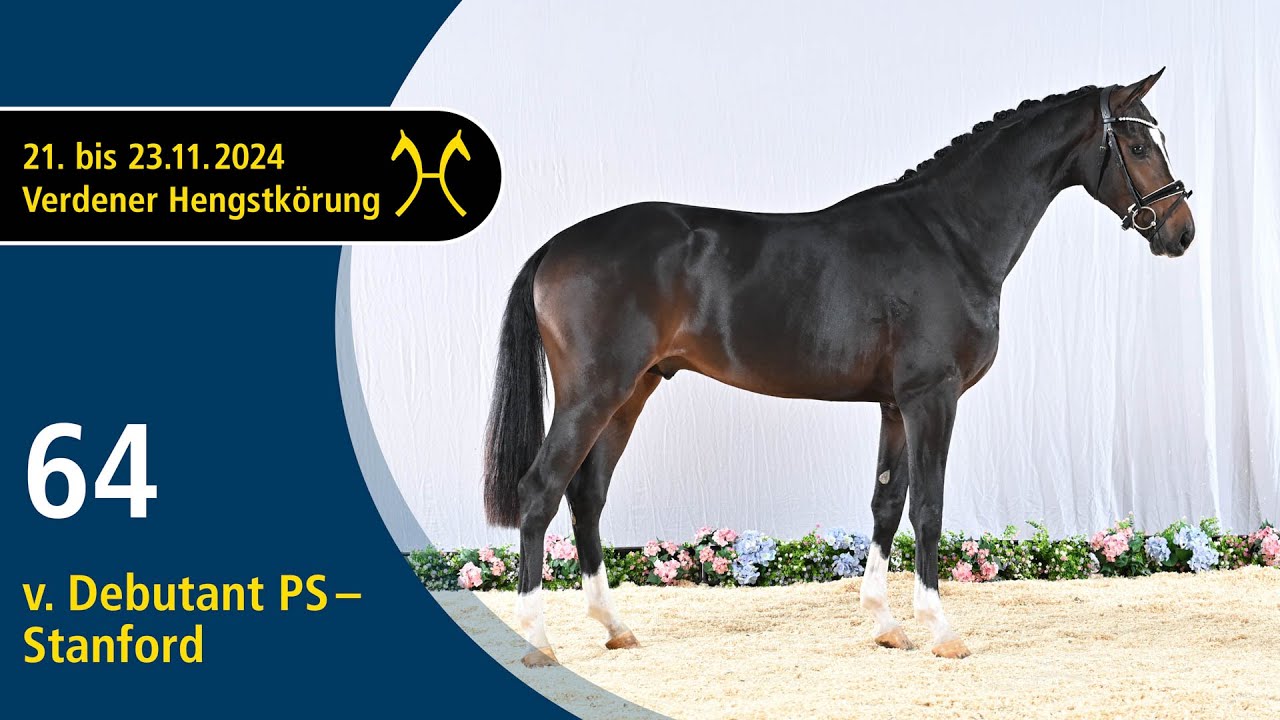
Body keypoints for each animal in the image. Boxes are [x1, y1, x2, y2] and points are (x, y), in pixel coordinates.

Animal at [482, 69, 1195, 665]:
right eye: (1138, 146)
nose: (1180, 231)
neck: (948, 236)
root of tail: (556, 245)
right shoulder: (933, 398)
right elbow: (927, 508)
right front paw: (942, 632)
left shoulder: (895, 405)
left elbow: (886, 503)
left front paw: (886, 625)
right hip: (593, 394)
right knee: (540, 491)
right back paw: (539, 642)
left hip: (630, 393)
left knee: (587, 495)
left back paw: (615, 628)